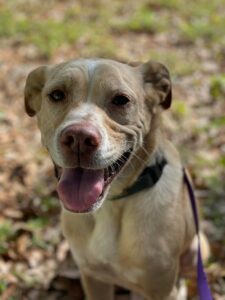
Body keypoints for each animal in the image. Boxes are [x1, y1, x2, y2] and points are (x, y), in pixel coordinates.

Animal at [24, 58, 209, 298]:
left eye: (121, 100)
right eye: (56, 95)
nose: (79, 138)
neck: (110, 206)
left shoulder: (160, 287)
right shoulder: (93, 277)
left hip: (198, 250)